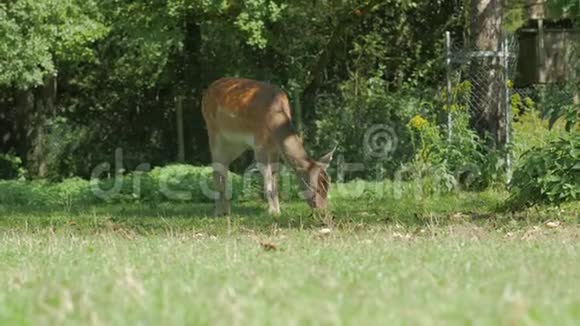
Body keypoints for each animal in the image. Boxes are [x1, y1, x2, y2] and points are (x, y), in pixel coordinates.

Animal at [201, 77, 336, 215]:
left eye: (328, 187)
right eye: (315, 188)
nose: (323, 211)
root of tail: (207, 91)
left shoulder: (274, 150)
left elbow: (275, 178)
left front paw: (278, 210)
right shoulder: (259, 144)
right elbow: (267, 178)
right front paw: (272, 212)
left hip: (235, 145)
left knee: (224, 167)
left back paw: (227, 210)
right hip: (213, 133)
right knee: (216, 167)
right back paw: (219, 211)